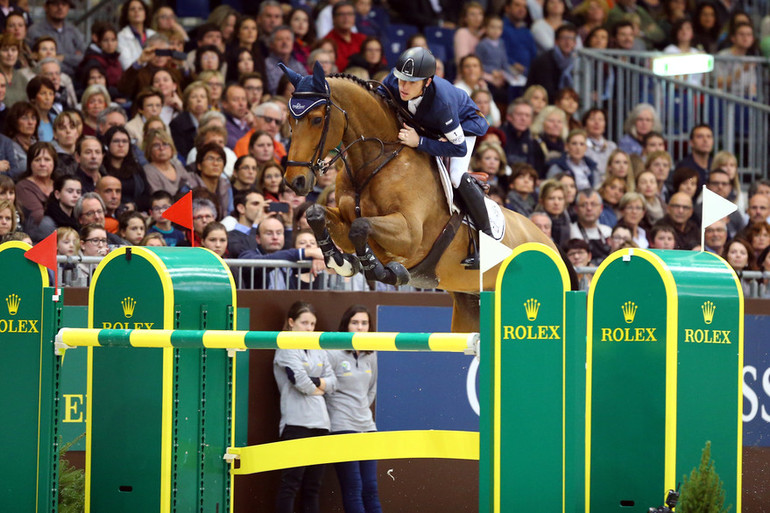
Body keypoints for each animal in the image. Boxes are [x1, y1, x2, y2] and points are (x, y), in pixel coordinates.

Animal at [280, 62, 556, 332]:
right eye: (290, 121)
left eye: (317, 119)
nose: (295, 181)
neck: (375, 162)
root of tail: (549, 242)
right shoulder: (345, 224)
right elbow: (317, 214)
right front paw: (340, 262)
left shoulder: (410, 234)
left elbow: (361, 226)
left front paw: (383, 270)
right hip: (469, 305)